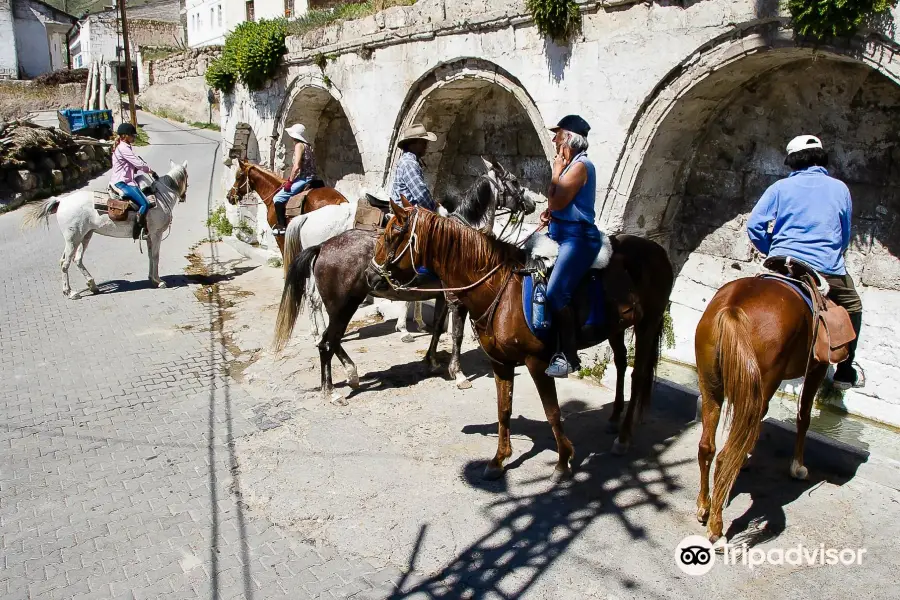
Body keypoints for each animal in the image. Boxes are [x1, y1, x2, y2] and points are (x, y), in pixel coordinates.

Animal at [24, 161, 190, 298]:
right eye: (187, 177)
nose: (183, 197)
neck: (161, 198)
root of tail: (62, 200)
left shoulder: (149, 236)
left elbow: (150, 256)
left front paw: (152, 279)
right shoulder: (156, 234)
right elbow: (155, 256)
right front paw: (159, 281)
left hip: (85, 235)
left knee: (77, 259)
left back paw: (92, 285)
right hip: (73, 238)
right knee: (65, 262)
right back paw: (70, 292)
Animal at [372, 204, 676, 480]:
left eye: (391, 235)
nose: (371, 276)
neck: (501, 290)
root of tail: (657, 250)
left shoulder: (537, 363)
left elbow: (552, 411)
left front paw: (563, 461)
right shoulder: (500, 362)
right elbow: (504, 409)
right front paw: (498, 460)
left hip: (648, 323)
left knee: (638, 375)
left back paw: (623, 437)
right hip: (617, 328)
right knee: (622, 363)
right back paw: (614, 419)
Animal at [692, 276, 848, 544]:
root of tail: (732, 308)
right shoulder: (816, 368)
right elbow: (804, 416)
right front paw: (797, 466)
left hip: (712, 386)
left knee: (708, 448)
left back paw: (705, 506)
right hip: (764, 381)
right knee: (726, 454)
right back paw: (717, 527)